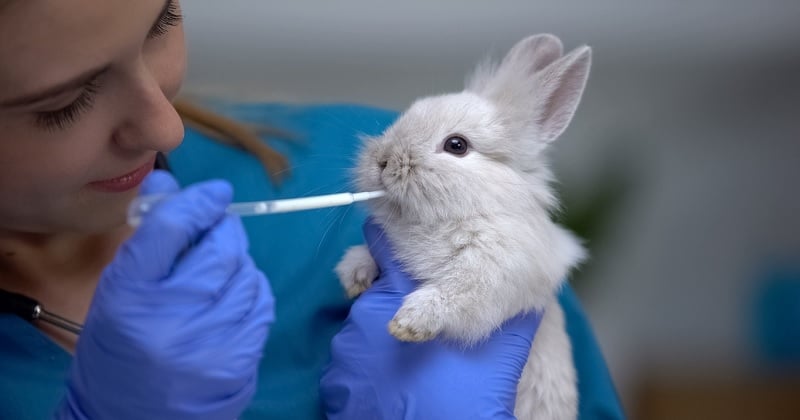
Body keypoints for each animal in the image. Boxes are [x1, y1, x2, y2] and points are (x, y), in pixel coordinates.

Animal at [334, 33, 592, 420]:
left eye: (456, 145)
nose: (382, 161)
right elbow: (368, 256)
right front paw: (353, 276)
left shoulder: (495, 272)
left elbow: (453, 293)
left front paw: (407, 323)